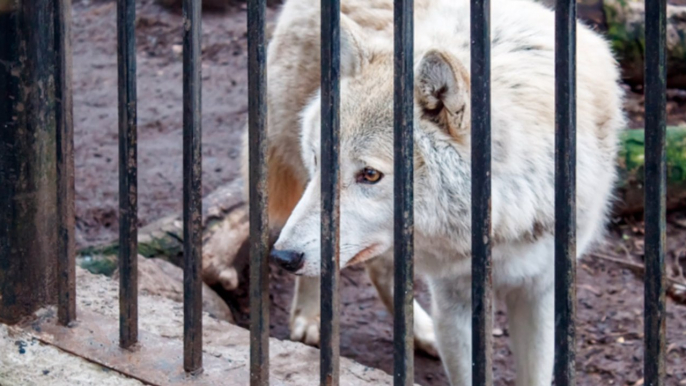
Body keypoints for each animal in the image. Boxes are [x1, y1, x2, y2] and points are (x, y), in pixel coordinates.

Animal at [245, 0, 628, 382]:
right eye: (319, 158)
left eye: (370, 174)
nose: (283, 257)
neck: (504, 221)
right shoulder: (453, 297)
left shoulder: (540, 289)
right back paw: (312, 319)